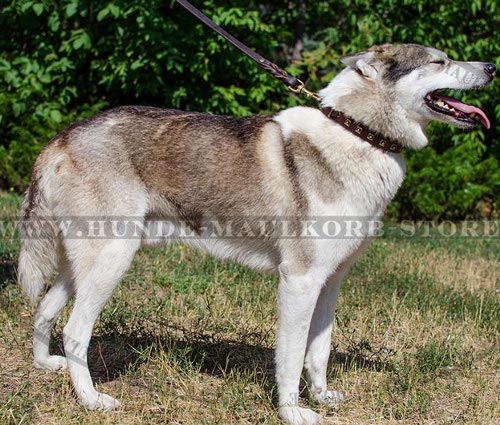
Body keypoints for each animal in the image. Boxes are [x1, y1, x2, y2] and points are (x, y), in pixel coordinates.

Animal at [17, 44, 494, 424]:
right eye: (440, 61)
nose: (491, 65)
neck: (358, 134)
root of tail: (60, 139)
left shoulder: (331, 283)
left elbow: (318, 352)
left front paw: (322, 397)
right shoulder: (299, 282)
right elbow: (291, 358)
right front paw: (294, 413)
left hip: (82, 267)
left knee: (43, 311)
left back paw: (44, 365)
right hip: (111, 263)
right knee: (74, 332)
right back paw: (91, 401)